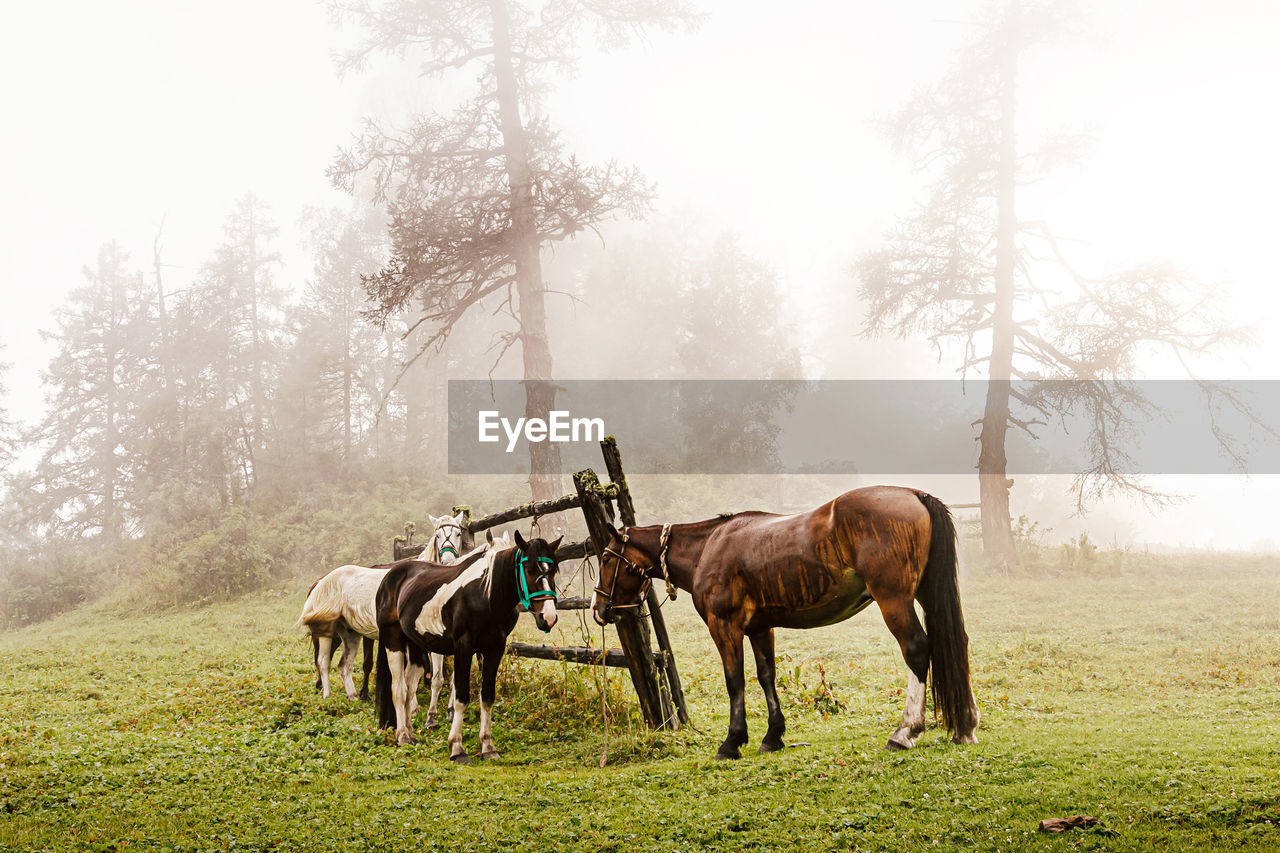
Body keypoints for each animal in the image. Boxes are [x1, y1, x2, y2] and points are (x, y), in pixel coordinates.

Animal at [299, 512, 471, 696]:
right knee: (322, 659)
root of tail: (320, 582)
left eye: (458, 534)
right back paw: (325, 691)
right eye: (437, 536)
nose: (448, 561)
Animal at [376, 527, 563, 758]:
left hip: (416, 646)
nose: (548, 617)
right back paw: (402, 735)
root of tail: (391, 576)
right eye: (528, 569)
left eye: (553, 570)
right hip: (393, 642)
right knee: (398, 689)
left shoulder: (494, 649)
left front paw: (488, 746)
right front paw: (456, 747)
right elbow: (461, 696)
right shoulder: (463, 648)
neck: (485, 594)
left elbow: (487, 696)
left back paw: (411, 733)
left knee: (410, 688)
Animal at [591, 484, 977, 758]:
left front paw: (732, 742)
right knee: (953, 644)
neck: (708, 548)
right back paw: (966, 725)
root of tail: (914, 494)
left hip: (894, 600)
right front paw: (772, 735)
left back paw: (905, 731)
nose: (599, 608)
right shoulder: (760, 627)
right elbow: (766, 676)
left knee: (917, 650)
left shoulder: (724, 626)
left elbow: (734, 681)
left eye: (606, 559)